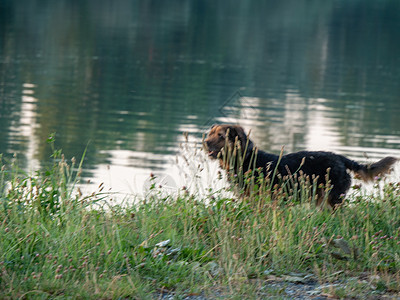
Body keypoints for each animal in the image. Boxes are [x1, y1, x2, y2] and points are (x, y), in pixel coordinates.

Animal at [205, 124, 398, 209]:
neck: (245, 157)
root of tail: (340, 158)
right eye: (210, 133)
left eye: (221, 136)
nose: (205, 142)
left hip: (332, 198)